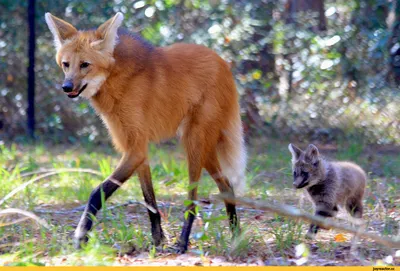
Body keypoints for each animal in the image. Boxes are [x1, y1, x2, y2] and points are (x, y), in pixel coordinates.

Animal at [44, 12, 247, 255]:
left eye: (85, 65)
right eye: (66, 64)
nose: (66, 87)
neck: (116, 78)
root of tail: (224, 64)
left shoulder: (136, 149)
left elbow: (97, 192)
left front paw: (80, 237)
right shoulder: (136, 148)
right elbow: (149, 199)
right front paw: (158, 239)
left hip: (194, 143)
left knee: (193, 198)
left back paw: (183, 243)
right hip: (202, 146)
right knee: (226, 185)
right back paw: (236, 236)